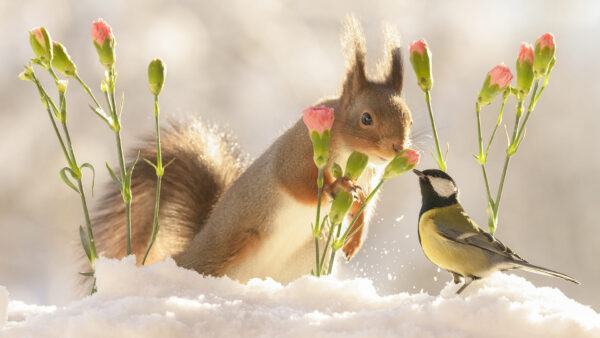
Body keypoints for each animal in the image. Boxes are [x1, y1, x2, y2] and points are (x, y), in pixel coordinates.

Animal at [89, 16, 412, 286]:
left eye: (409, 118)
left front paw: (355, 238)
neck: (352, 155)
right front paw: (337, 186)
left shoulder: (371, 177)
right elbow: (298, 183)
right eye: (366, 118)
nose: (397, 147)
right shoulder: (297, 153)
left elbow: (363, 207)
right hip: (229, 244)